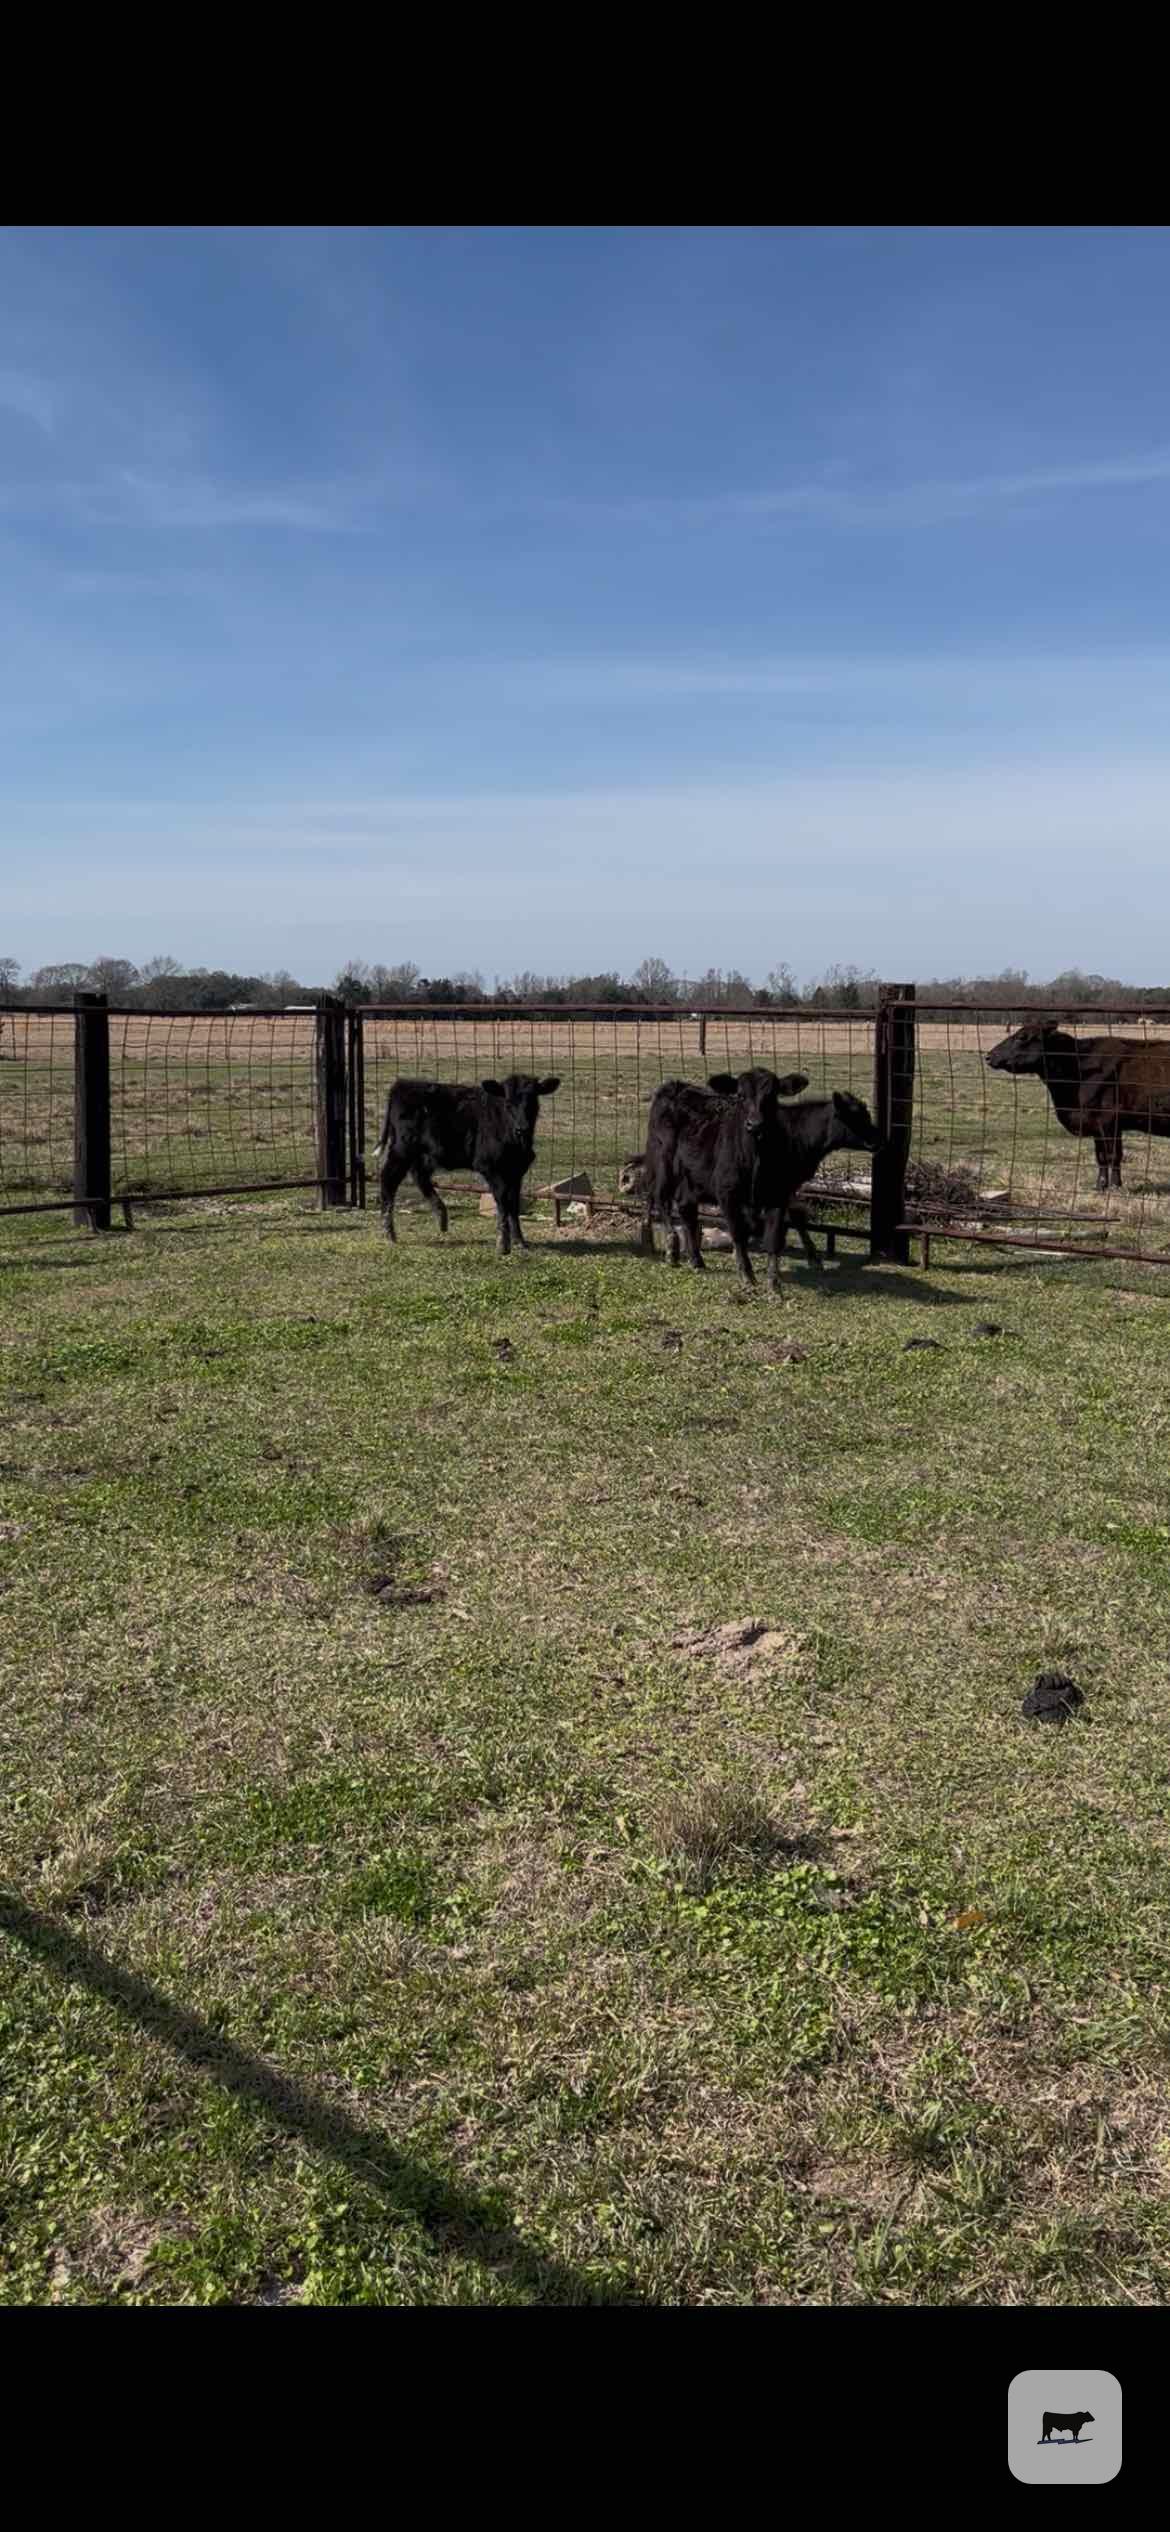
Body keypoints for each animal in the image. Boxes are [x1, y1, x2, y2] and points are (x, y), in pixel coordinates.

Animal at [373, 1073, 560, 1255]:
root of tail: (402, 1084)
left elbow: (513, 1206)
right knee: (389, 1180)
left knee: (419, 1176)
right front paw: (503, 1244)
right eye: (507, 1103)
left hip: (425, 1153)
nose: (522, 1128)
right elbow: (502, 1203)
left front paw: (520, 1241)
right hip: (402, 1149)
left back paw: (441, 1217)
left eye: (533, 1102)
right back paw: (389, 1233)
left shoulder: (516, 1172)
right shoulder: (491, 1168)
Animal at [986, 1022, 1170, 1191]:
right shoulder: (1096, 1124)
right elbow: (1101, 1156)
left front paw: (1115, 1186)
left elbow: (1113, 1155)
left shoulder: (1109, 1121)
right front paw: (1100, 1186)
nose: (988, 1055)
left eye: (1022, 1037)